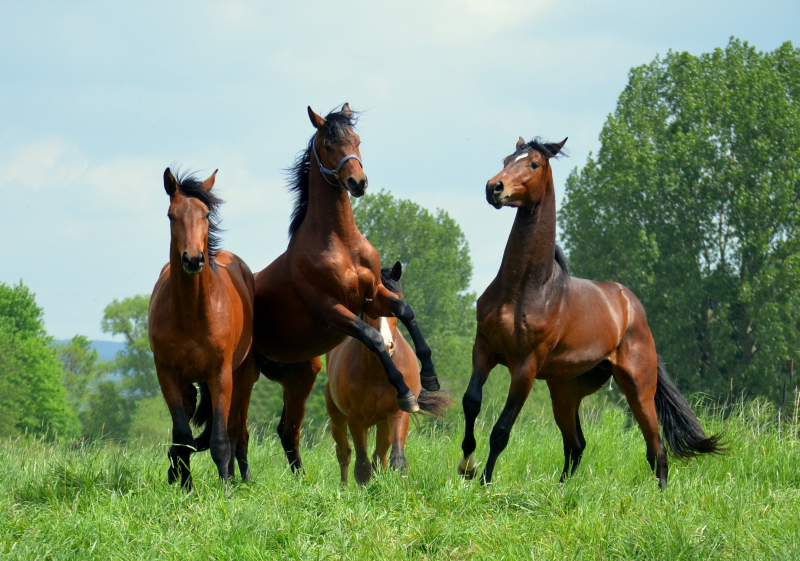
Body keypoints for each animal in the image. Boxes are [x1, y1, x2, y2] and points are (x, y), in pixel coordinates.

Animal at [148, 168, 258, 488]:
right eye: (171, 215)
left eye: (206, 214)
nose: (193, 258)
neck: (192, 315)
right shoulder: (169, 377)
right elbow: (182, 436)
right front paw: (185, 486)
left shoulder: (220, 376)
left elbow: (220, 439)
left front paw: (225, 490)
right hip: (188, 386)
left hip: (243, 378)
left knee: (237, 431)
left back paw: (242, 478)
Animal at [253, 104, 440, 472]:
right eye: (328, 144)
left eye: (357, 140)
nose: (358, 182)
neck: (340, 242)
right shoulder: (333, 310)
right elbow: (372, 337)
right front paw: (404, 392)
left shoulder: (373, 296)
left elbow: (406, 311)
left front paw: (429, 376)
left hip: (300, 375)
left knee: (287, 429)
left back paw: (301, 478)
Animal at [324, 260, 450, 484]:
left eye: (396, 299)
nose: (385, 344)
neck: (377, 371)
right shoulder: (356, 419)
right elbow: (362, 467)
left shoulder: (398, 414)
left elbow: (396, 459)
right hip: (337, 416)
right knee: (344, 453)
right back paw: (344, 487)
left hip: (383, 424)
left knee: (379, 457)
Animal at [456, 136, 724, 486]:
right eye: (506, 159)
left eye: (534, 164)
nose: (494, 188)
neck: (523, 289)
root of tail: (632, 307)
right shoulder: (484, 348)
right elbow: (471, 402)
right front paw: (466, 464)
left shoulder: (525, 366)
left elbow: (502, 429)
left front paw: (485, 482)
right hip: (565, 390)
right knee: (576, 444)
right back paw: (561, 489)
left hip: (638, 387)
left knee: (656, 447)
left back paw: (662, 494)